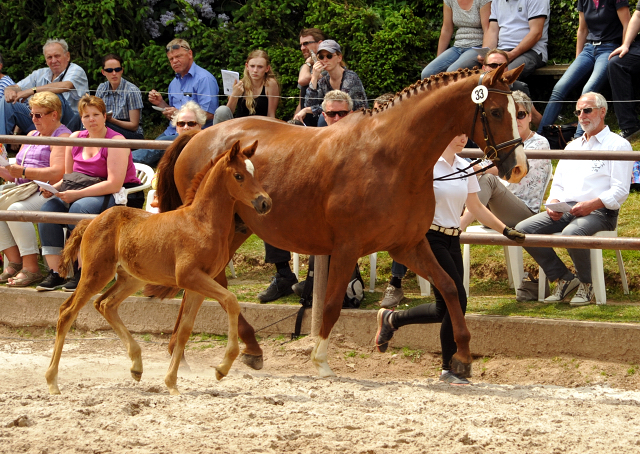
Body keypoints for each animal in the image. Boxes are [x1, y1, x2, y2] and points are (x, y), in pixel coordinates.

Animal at [44, 140, 270, 396]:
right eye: (239, 175)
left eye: (254, 172)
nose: (264, 202)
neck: (201, 224)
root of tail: (91, 221)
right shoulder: (189, 277)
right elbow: (231, 301)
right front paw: (223, 367)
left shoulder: (199, 284)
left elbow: (184, 330)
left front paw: (171, 383)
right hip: (96, 274)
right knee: (67, 312)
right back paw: (52, 381)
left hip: (131, 278)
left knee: (105, 304)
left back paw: (136, 366)